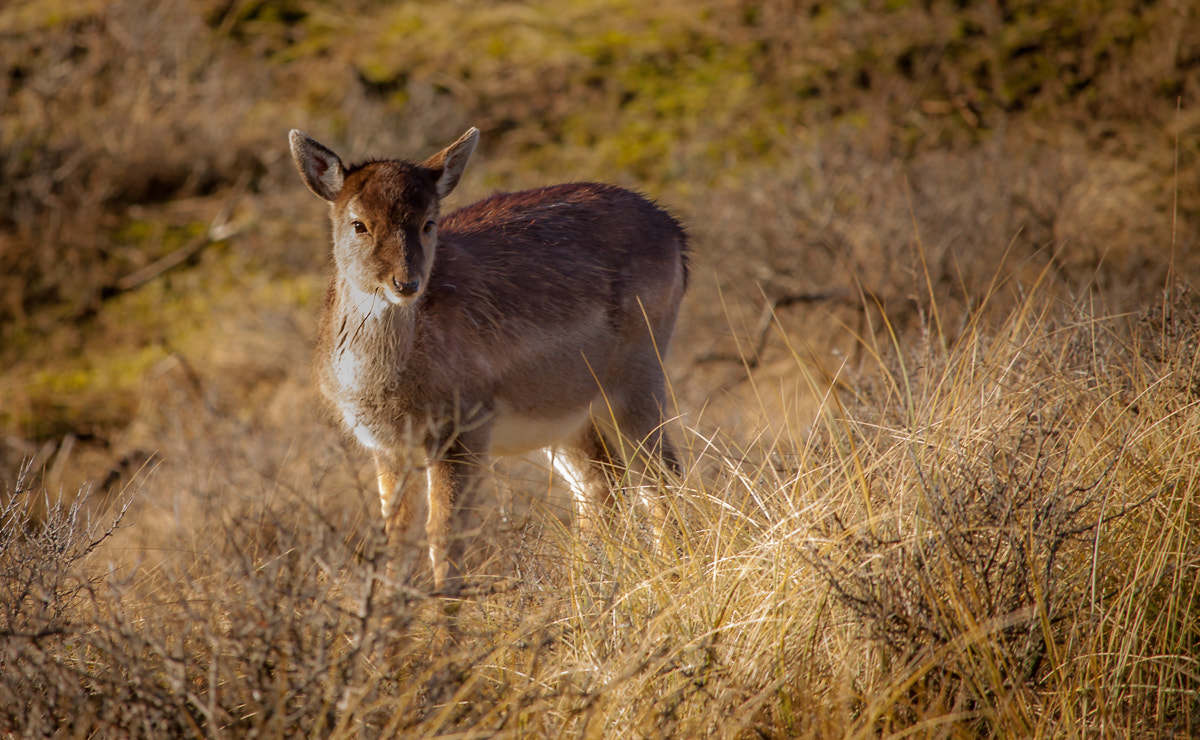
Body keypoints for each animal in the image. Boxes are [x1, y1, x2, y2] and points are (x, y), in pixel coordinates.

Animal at [289, 127, 688, 595]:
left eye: (428, 222)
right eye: (359, 224)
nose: (406, 283)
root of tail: (679, 237)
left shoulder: (466, 425)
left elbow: (443, 536)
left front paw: (446, 614)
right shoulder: (385, 446)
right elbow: (397, 540)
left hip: (638, 376)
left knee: (662, 478)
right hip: (569, 415)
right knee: (601, 486)